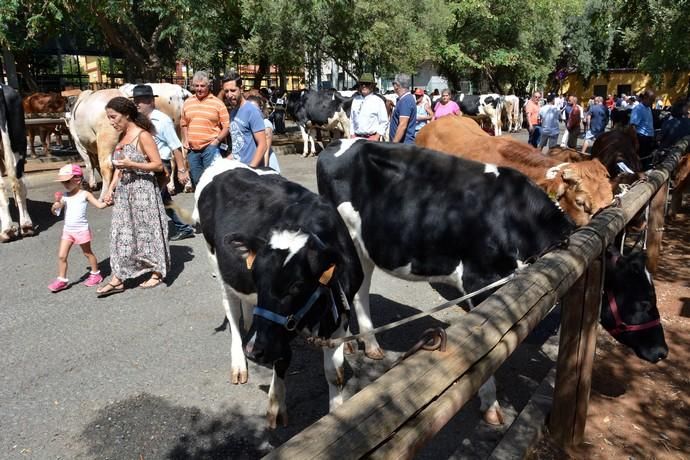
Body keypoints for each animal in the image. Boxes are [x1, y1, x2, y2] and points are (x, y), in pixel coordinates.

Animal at [194, 159, 362, 428]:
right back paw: (239, 360)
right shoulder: (276, 332)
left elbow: (334, 373)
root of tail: (223, 161)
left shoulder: (338, 319)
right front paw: (276, 405)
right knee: (231, 312)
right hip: (217, 266)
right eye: (257, 278)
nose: (255, 350)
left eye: (297, 285)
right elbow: (282, 358)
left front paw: (337, 412)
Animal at [316, 139, 668, 424]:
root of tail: (335, 145)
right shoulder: (478, 281)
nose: (663, 352)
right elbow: (488, 346)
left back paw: (370, 345)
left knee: (361, 290)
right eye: (643, 301)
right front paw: (492, 407)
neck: (516, 218)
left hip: (366, 246)